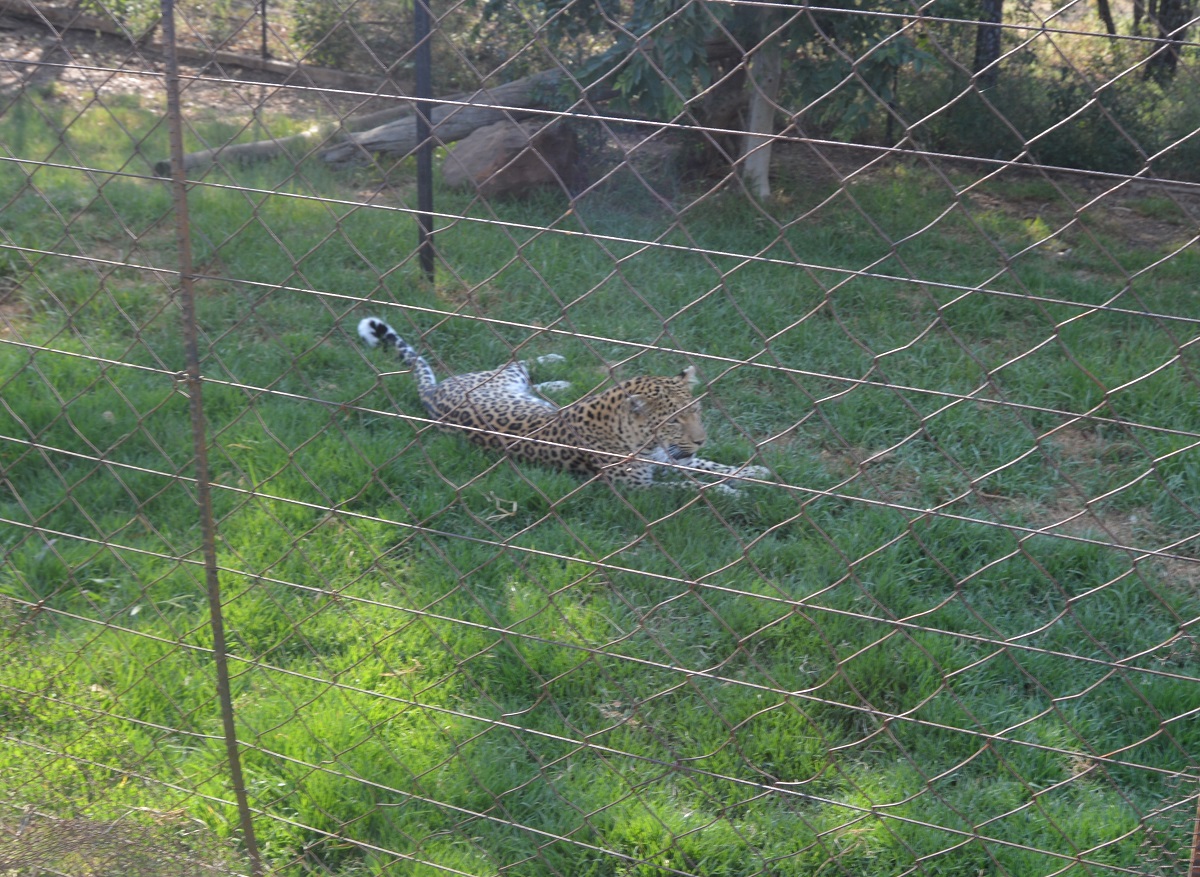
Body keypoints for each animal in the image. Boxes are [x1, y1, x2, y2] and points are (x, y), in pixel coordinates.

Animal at [355, 319, 768, 489]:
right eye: (673, 421)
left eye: (696, 413)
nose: (701, 438)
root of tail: (435, 393)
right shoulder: (637, 489)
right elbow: (689, 488)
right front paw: (733, 492)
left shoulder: (673, 459)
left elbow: (711, 467)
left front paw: (754, 473)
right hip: (498, 378)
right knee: (515, 360)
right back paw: (557, 366)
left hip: (511, 383)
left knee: (523, 368)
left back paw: (559, 377)